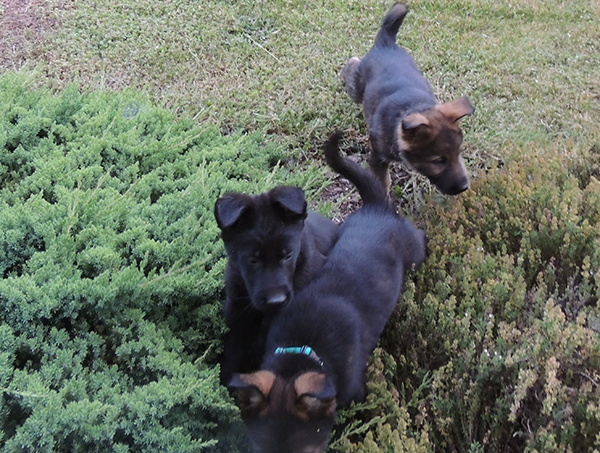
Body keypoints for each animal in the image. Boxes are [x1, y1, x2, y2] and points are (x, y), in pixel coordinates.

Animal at [340, 3, 476, 194]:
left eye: (458, 153)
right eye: (438, 161)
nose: (464, 187)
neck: (411, 109)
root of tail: (387, 44)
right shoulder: (378, 156)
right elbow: (381, 180)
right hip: (356, 89)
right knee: (351, 66)